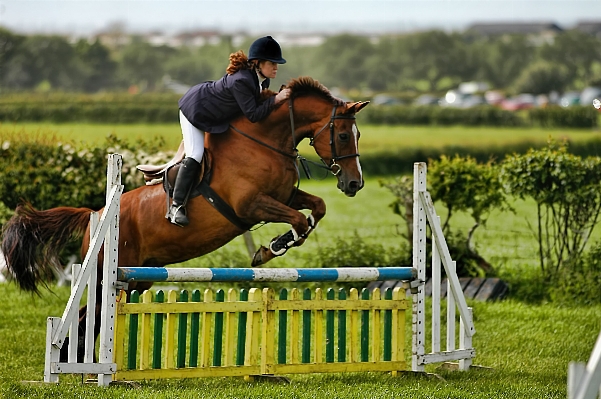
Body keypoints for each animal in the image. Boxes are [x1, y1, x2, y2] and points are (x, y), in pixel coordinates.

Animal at [0, 76, 368, 360]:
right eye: (344, 135)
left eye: (358, 135)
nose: (354, 184)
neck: (265, 141)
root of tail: (96, 214)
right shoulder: (251, 205)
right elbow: (299, 221)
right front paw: (272, 248)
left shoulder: (283, 195)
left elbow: (317, 207)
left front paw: (276, 244)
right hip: (110, 273)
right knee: (85, 317)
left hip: (138, 278)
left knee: (91, 318)